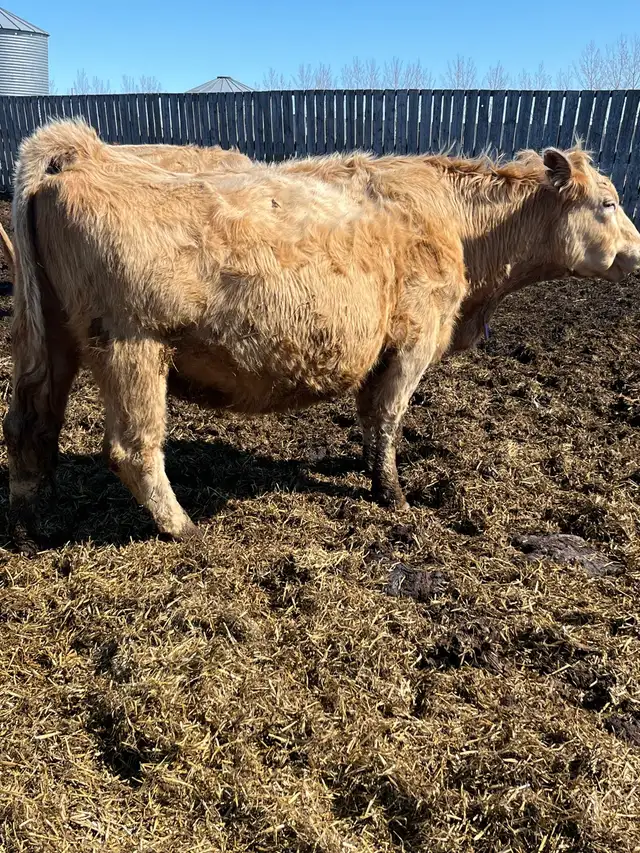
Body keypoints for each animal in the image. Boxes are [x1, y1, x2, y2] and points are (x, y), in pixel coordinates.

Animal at [4, 118, 640, 551]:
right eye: (608, 203)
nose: (638, 251)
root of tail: (81, 149)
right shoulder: (411, 342)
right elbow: (385, 421)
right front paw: (394, 497)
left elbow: (370, 420)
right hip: (132, 345)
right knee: (132, 448)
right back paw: (185, 528)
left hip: (53, 339)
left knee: (31, 424)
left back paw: (36, 522)